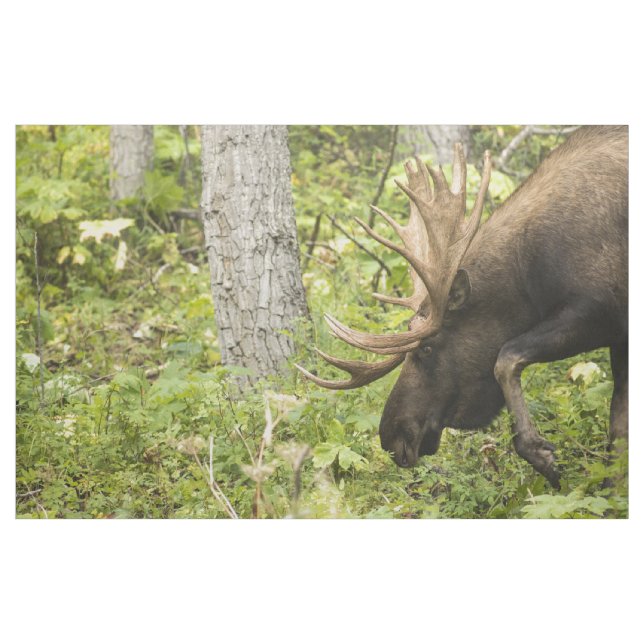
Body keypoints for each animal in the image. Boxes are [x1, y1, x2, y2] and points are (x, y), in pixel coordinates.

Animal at [296, 126, 628, 489]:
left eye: (426, 348)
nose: (392, 436)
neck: (531, 274)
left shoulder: (601, 310)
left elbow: (506, 358)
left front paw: (544, 456)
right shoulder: (617, 336)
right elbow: (619, 427)